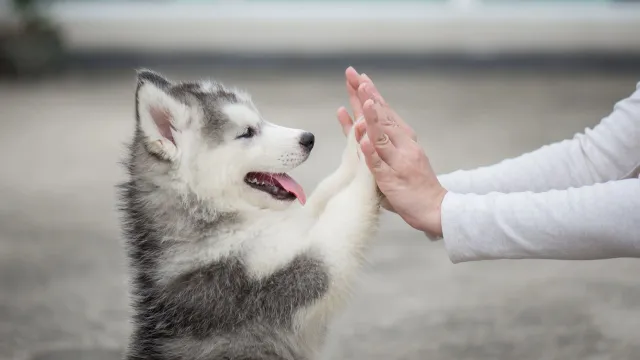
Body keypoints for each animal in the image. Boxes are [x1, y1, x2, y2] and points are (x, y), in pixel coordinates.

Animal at [119, 70, 380, 360]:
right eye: (247, 132)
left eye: (260, 120)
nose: (308, 138)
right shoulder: (286, 279)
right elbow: (343, 212)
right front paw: (371, 157)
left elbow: (322, 194)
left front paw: (357, 141)